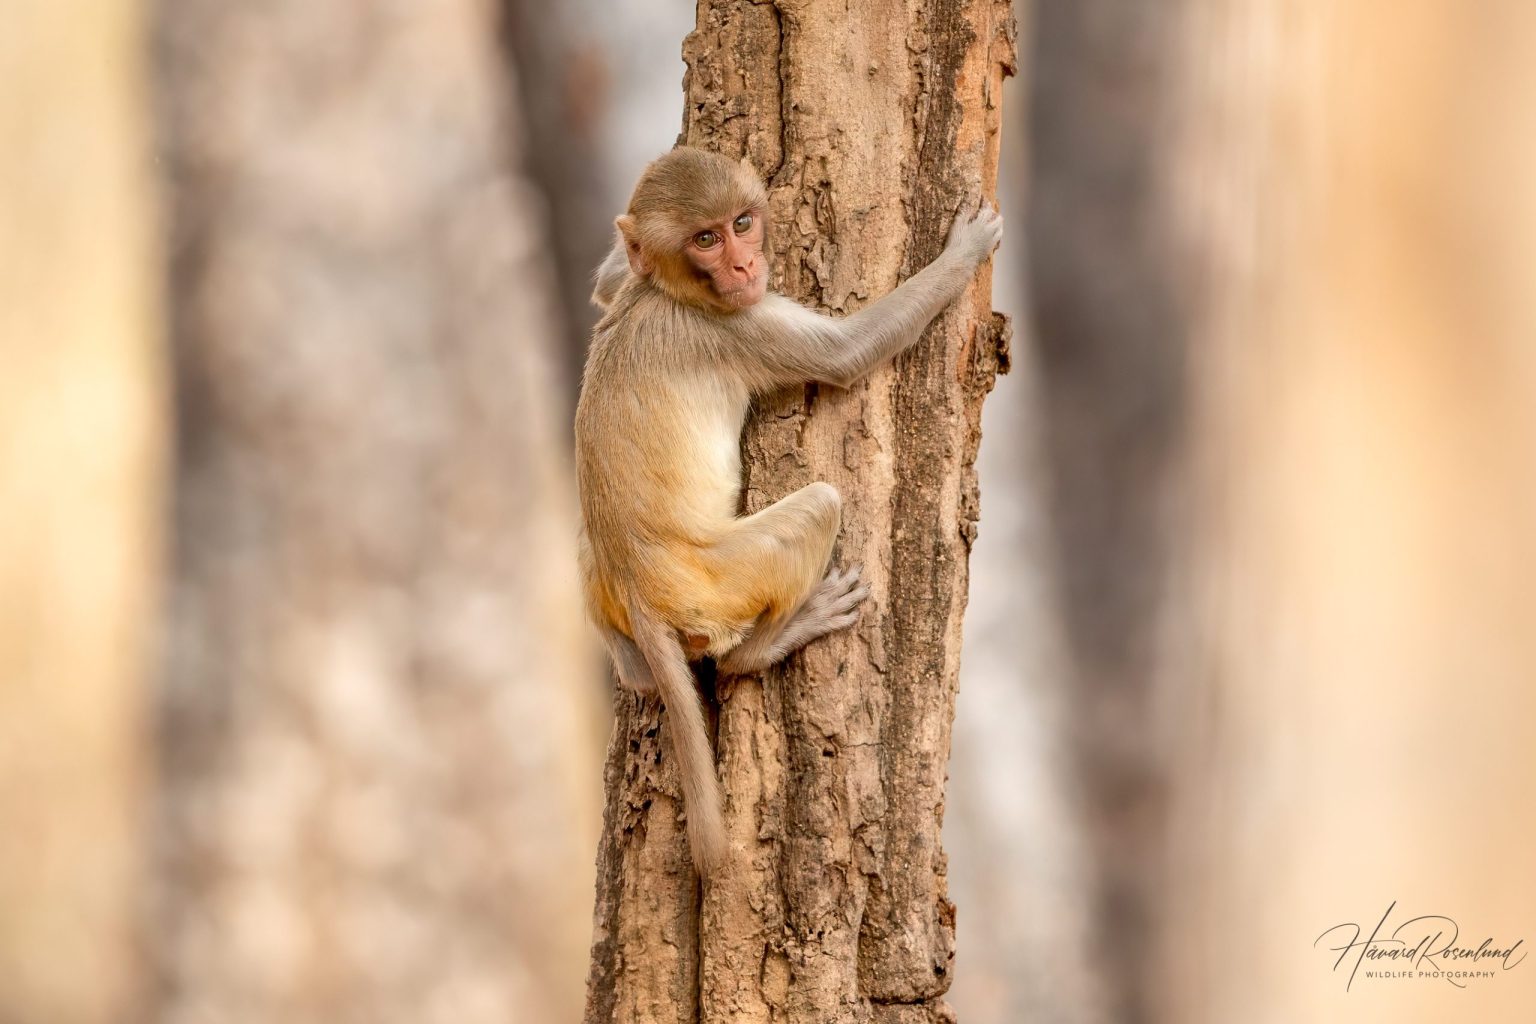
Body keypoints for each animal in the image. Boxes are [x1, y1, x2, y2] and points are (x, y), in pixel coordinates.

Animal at [575, 147, 1002, 873]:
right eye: (707, 239)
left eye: (741, 223)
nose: (745, 267)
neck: (668, 295)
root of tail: (636, 589)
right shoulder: (737, 326)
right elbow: (847, 355)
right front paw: (964, 251)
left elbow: (607, 284)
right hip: (723, 577)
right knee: (818, 508)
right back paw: (770, 644)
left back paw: (635, 670)